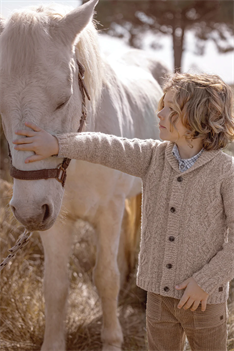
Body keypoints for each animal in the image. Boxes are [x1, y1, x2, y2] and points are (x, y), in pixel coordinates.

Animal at [0, 1, 165, 350]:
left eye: (63, 99)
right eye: (0, 106)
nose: (27, 211)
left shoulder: (108, 212)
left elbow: (105, 277)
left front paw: (112, 340)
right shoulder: (54, 220)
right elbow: (56, 286)